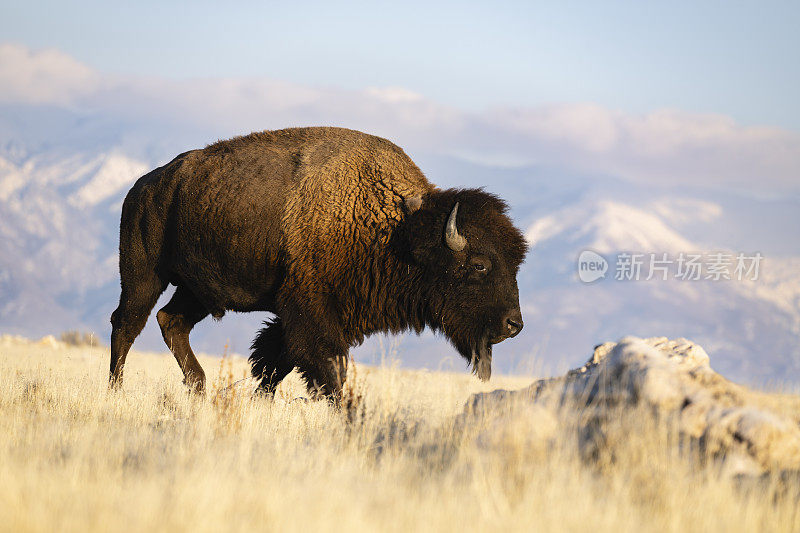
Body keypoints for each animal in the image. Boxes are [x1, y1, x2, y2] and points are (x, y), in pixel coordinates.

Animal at [109, 127, 528, 396]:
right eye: (479, 265)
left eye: (516, 263)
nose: (514, 324)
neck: (398, 230)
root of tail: (145, 185)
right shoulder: (312, 315)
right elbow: (328, 371)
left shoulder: (304, 317)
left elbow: (275, 363)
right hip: (143, 276)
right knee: (126, 324)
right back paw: (116, 392)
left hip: (197, 290)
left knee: (171, 321)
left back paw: (198, 388)